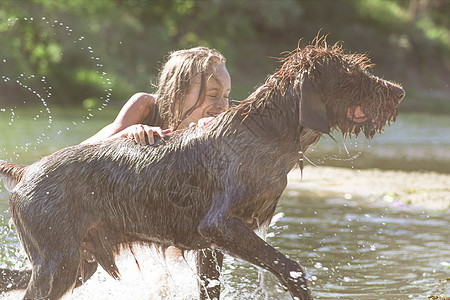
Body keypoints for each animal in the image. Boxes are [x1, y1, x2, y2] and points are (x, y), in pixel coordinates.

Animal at [0, 38, 402, 300]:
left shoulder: (212, 246)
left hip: (78, 262)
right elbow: (293, 269)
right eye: (352, 75)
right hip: (58, 264)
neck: (269, 132)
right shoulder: (220, 225)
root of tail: (25, 171)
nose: (398, 91)